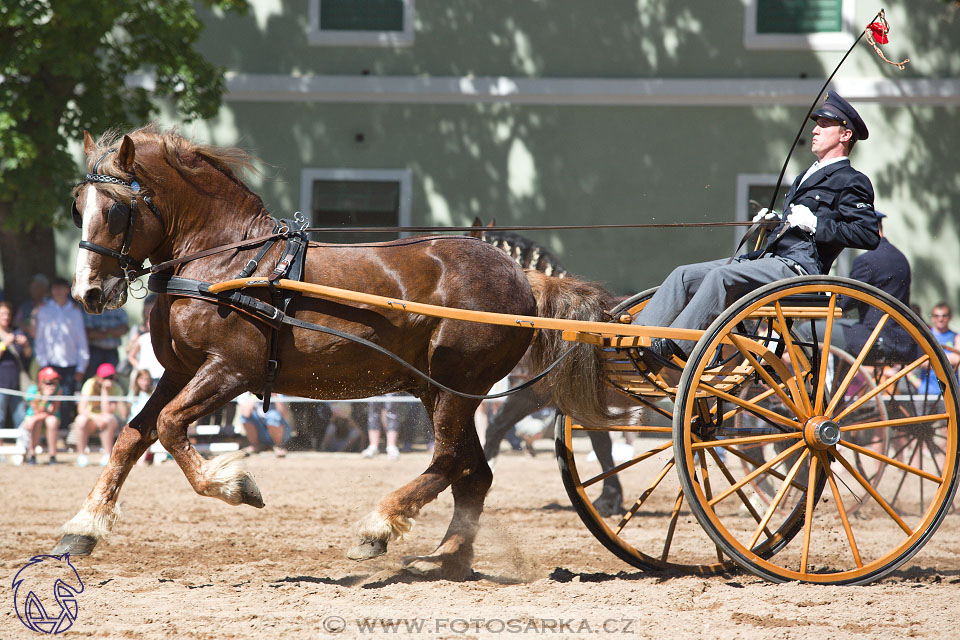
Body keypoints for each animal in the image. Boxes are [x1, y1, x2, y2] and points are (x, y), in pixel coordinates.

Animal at [60, 126, 616, 580]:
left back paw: (380, 527)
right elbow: (132, 437)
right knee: (472, 472)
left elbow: (171, 425)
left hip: (457, 386)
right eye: (77, 207)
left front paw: (235, 485)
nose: (88, 293)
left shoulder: (230, 371)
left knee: (449, 460)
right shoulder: (178, 373)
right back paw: (447, 557)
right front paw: (83, 526)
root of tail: (523, 278)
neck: (226, 260)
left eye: (116, 209)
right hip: (439, 389)